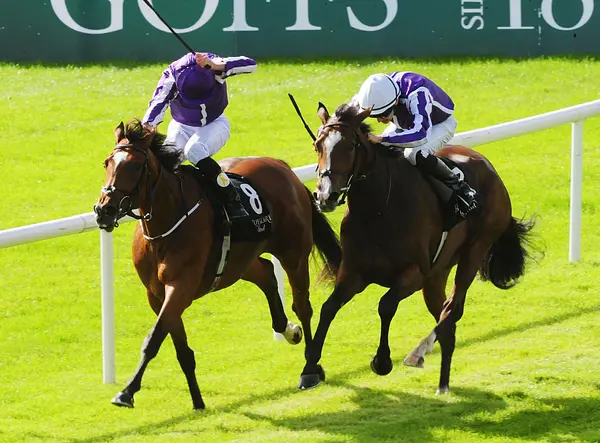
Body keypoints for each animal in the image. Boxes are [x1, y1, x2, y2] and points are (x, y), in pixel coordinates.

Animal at [93, 119, 342, 409]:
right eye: (107, 163)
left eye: (134, 166)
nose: (104, 210)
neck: (167, 222)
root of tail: (283, 168)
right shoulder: (156, 294)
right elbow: (180, 348)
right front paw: (197, 401)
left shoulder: (180, 286)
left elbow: (153, 339)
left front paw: (127, 391)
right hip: (239, 262)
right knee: (266, 273)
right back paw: (289, 330)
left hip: (293, 253)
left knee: (303, 306)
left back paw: (310, 369)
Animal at [298, 102, 537, 394]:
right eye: (318, 145)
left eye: (350, 146)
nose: (325, 195)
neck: (377, 209)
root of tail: (489, 168)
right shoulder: (354, 273)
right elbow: (328, 308)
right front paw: (310, 370)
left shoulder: (414, 274)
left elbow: (385, 305)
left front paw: (382, 361)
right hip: (437, 273)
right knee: (446, 319)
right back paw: (442, 385)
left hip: (475, 248)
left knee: (452, 308)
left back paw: (418, 353)